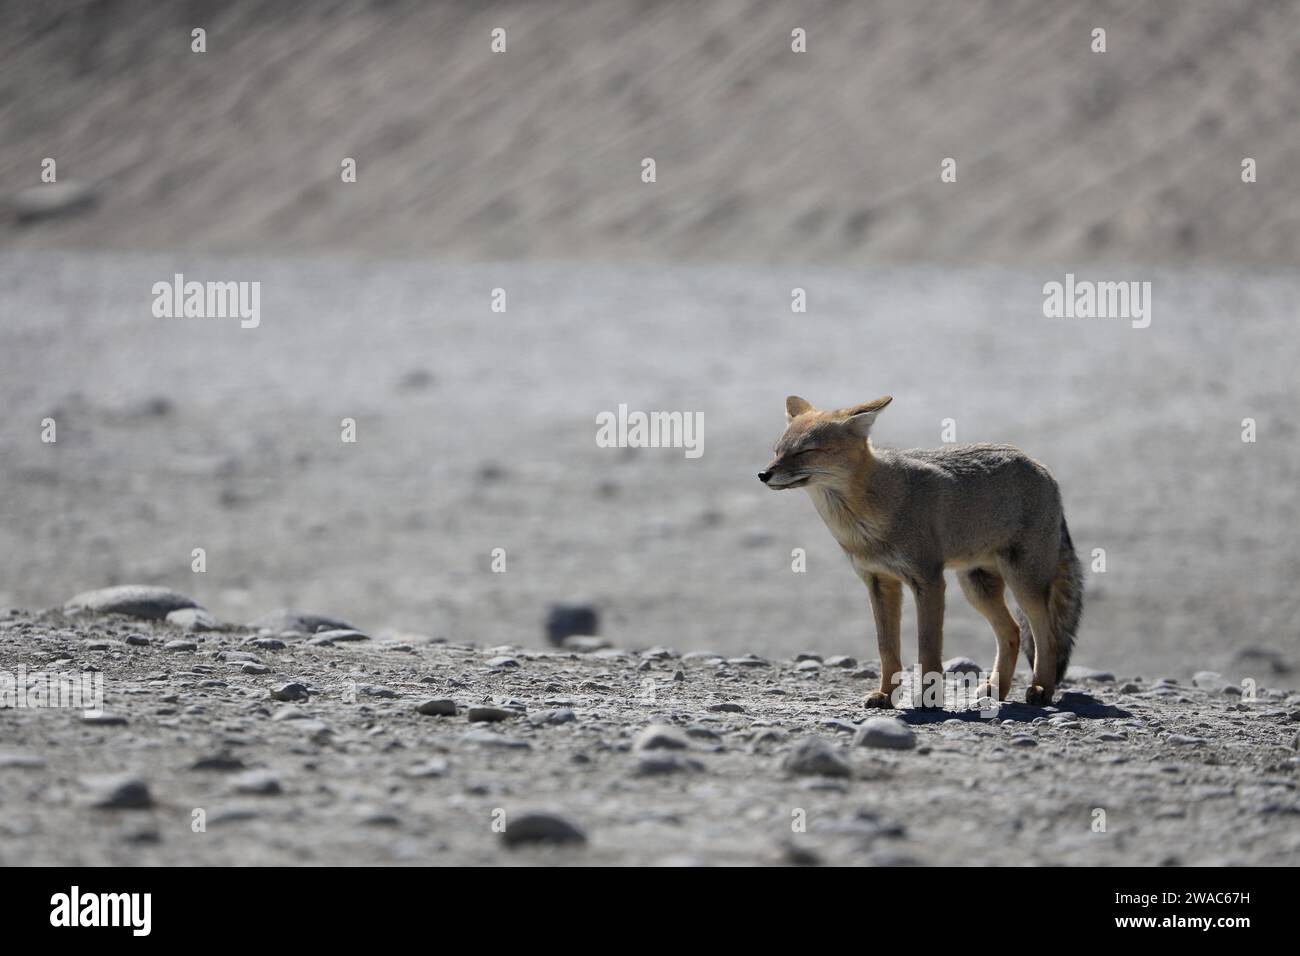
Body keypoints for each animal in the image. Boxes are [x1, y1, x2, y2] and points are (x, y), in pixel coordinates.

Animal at [760, 395, 1082, 708]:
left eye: (805, 451)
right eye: (777, 451)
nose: (763, 474)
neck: (866, 521)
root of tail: (1039, 465)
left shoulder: (928, 580)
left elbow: (927, 648)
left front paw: (929, 699)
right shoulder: (878, 582)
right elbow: (886, 648)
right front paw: (885, 695)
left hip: (1023, 585)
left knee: (1047, 636)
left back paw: (1041, 688)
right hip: (977, 588)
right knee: (1012, 632)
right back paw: (996, 690)